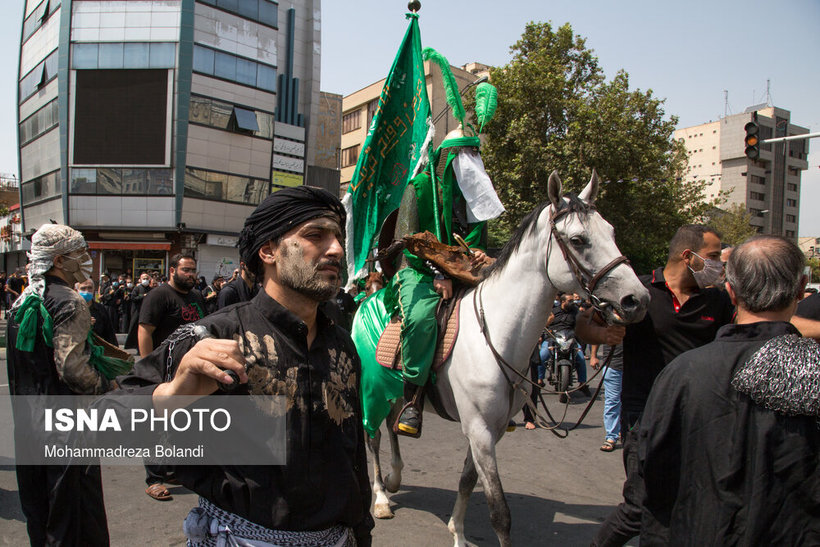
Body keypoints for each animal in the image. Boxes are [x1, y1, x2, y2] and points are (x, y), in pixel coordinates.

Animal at [362, 169, 652, 544]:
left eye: (612, 233)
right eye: (578, 240)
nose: (637, 299)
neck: (499, 333)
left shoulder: (492, 430)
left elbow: (467, 481)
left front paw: (457, 531)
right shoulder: (480, 429)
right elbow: (500, 512)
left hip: (393, 389)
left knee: (392, 424)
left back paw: (395, 477)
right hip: (368, 388)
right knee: (373, 436)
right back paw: (381, 497)